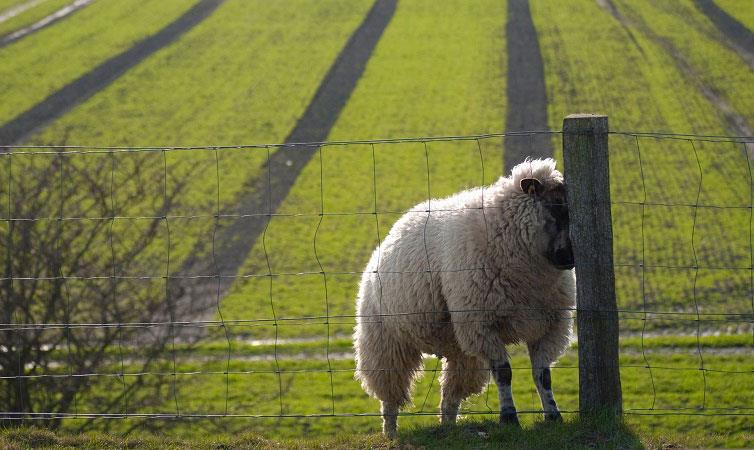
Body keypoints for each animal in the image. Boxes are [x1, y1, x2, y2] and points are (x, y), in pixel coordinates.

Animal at [352, 157, 576, 436]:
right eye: (555, 207)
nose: (570, 258)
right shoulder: (483, 324)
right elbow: (504, 373)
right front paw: (509, 418)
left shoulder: (551, 326)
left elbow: (542, 375)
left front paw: (553, 415)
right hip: (385, 342)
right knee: (390, 394)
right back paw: (391, 432)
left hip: (459, 347)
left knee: (451, 393)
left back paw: (448, 426)